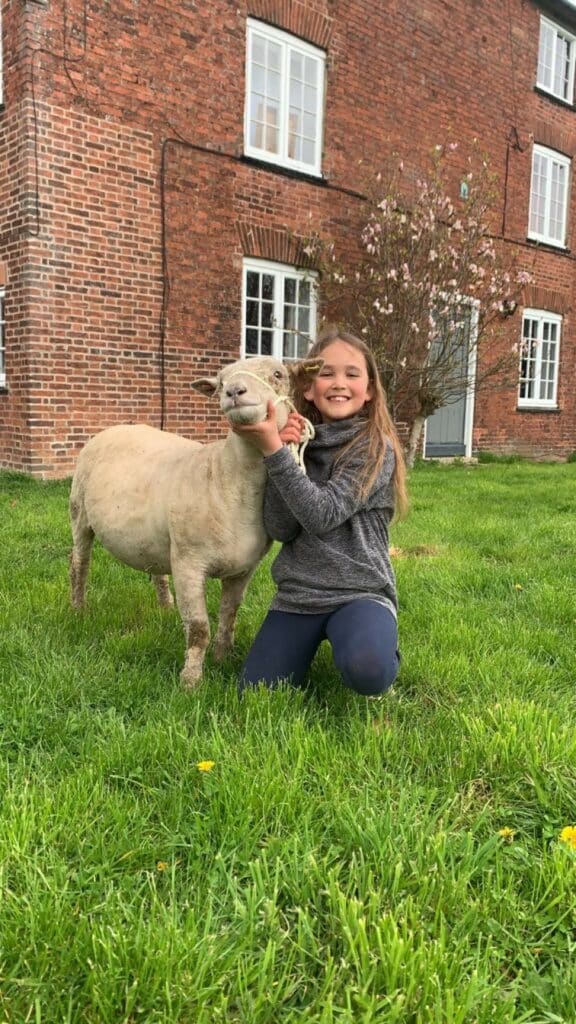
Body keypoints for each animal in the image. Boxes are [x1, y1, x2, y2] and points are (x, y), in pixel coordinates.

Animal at [69, 355, 321, 688]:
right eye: (221, 380)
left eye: (278, 374)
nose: (234, 391)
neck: (227, 480)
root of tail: (115, 428)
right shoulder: (188, 563)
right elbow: (199, 629)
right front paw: (190, 682)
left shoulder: (244, 569)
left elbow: (229, 615)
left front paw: (222, 657)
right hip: (79, 513)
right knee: (79, 564)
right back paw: (78, 610)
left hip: (152, 537)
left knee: (156, 572)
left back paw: (165, 609)